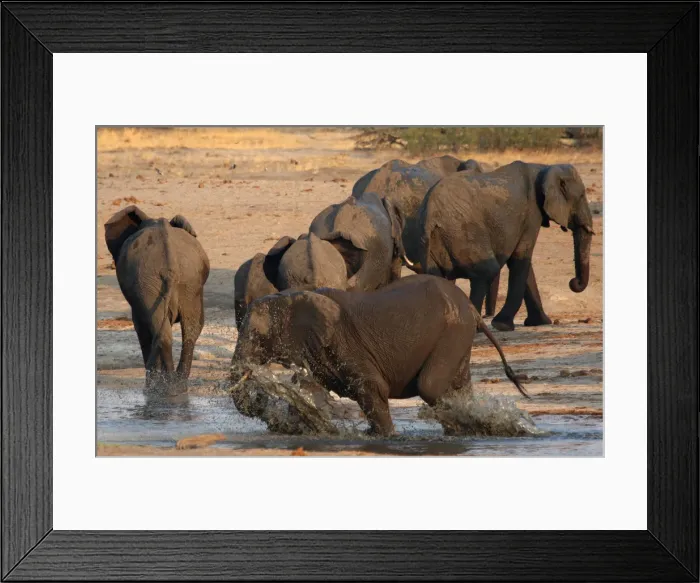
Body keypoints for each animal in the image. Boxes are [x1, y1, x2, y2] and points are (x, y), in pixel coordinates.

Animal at [104, 205, 210, 392]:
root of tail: (171, 265)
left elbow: (141, 328)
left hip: (148, 283)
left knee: (160, 331)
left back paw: (159, 385)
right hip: (189, 282)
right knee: (191, 329)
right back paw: (177, 384)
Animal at [231, 274, 528, 436]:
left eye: (256, 336)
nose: (261, 396)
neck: (293, 297)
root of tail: (473, 309)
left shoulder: (343, 342)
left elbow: (373, 388)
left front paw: (385, 436)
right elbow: (310, 394)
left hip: (453, 332)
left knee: (430, 387)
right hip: (458, 337)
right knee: (458, 385)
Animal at [416, 161, 595, 331]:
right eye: (581, 196)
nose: (573, 282)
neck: (545, 168)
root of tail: (430, 213)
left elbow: (523, 263)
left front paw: (540, 322)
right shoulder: (532, 213)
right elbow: (521, 258)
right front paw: (502, 325)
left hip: (434, 241)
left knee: (439, 277)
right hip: (463, 232)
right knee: (486, 271)